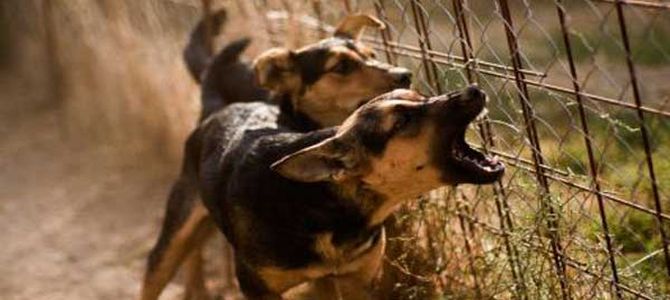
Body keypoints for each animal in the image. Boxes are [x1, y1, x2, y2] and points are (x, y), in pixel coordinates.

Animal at [143, 85, 504, 300]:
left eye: (418, 96)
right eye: (401, 120)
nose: (474, 89)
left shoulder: (356, 281)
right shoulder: (257, 288)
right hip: (170, 243)